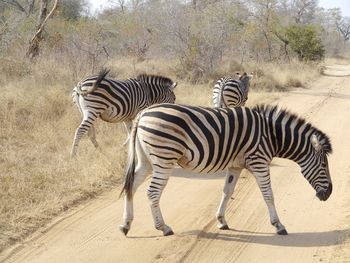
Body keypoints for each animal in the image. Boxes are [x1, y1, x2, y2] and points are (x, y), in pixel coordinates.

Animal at [119, 103, 332, 237]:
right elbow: (268, 194)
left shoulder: (235, 165)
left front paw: (221, 221)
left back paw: (125, 225)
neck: (272, 135)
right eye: (323, 165)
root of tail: (143, 114)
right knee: (152, 193)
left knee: (132, 186)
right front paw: (278, 225)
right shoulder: (259, 162)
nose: (329, 194)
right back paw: (163, 227)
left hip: (146, 160)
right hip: (164, 158)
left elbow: (227, 192)